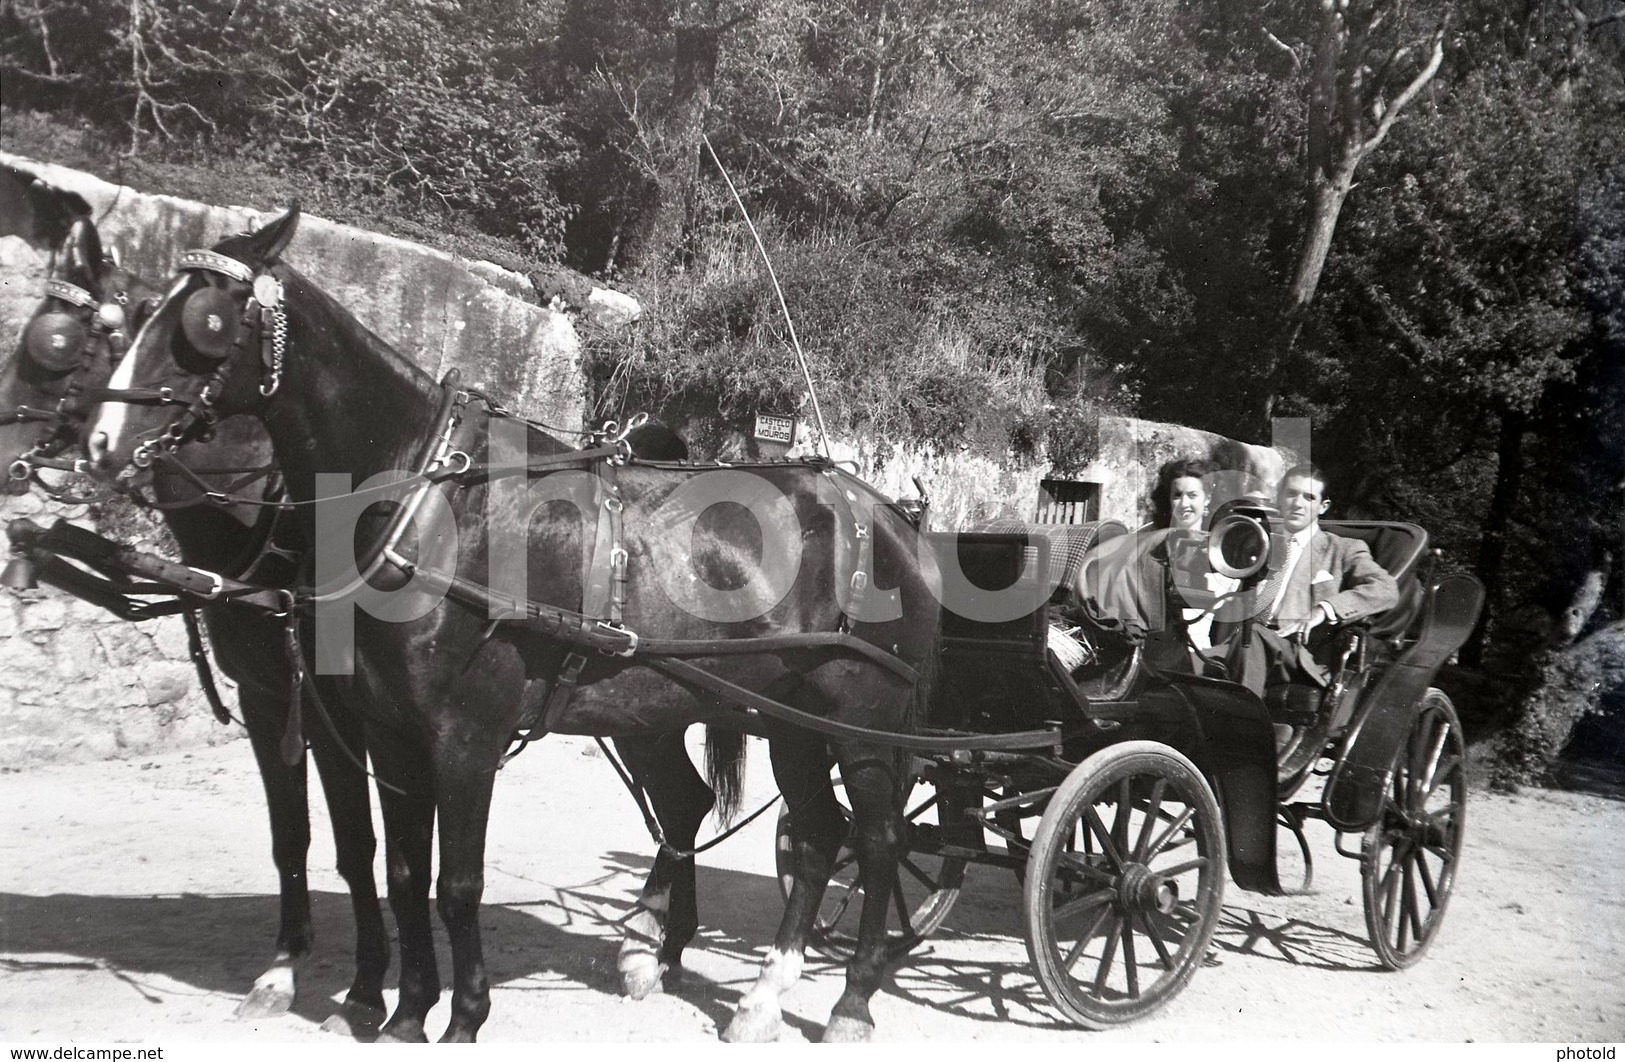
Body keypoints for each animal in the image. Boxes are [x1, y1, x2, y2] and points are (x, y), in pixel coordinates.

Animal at [2, 214, 390, 1032]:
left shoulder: (331, 705)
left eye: (56, 343)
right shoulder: (267, 696)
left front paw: (369, 986)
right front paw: (283, 967)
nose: (100, 445)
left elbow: (357, 842)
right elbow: (290, 836)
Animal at [88, 203, 949, 1045]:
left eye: (202, 323)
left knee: (876, 841)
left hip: (862, 723)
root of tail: (894, 521)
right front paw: (404, 1011)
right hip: (786, 723)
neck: (424, 499)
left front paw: (462, 1014)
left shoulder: (461, 730)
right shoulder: (387, 728)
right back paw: (755, 994)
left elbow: (454, 880)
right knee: (813, 835)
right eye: (135, 313)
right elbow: (399, 870)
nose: (100, 441)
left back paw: (850, 999)